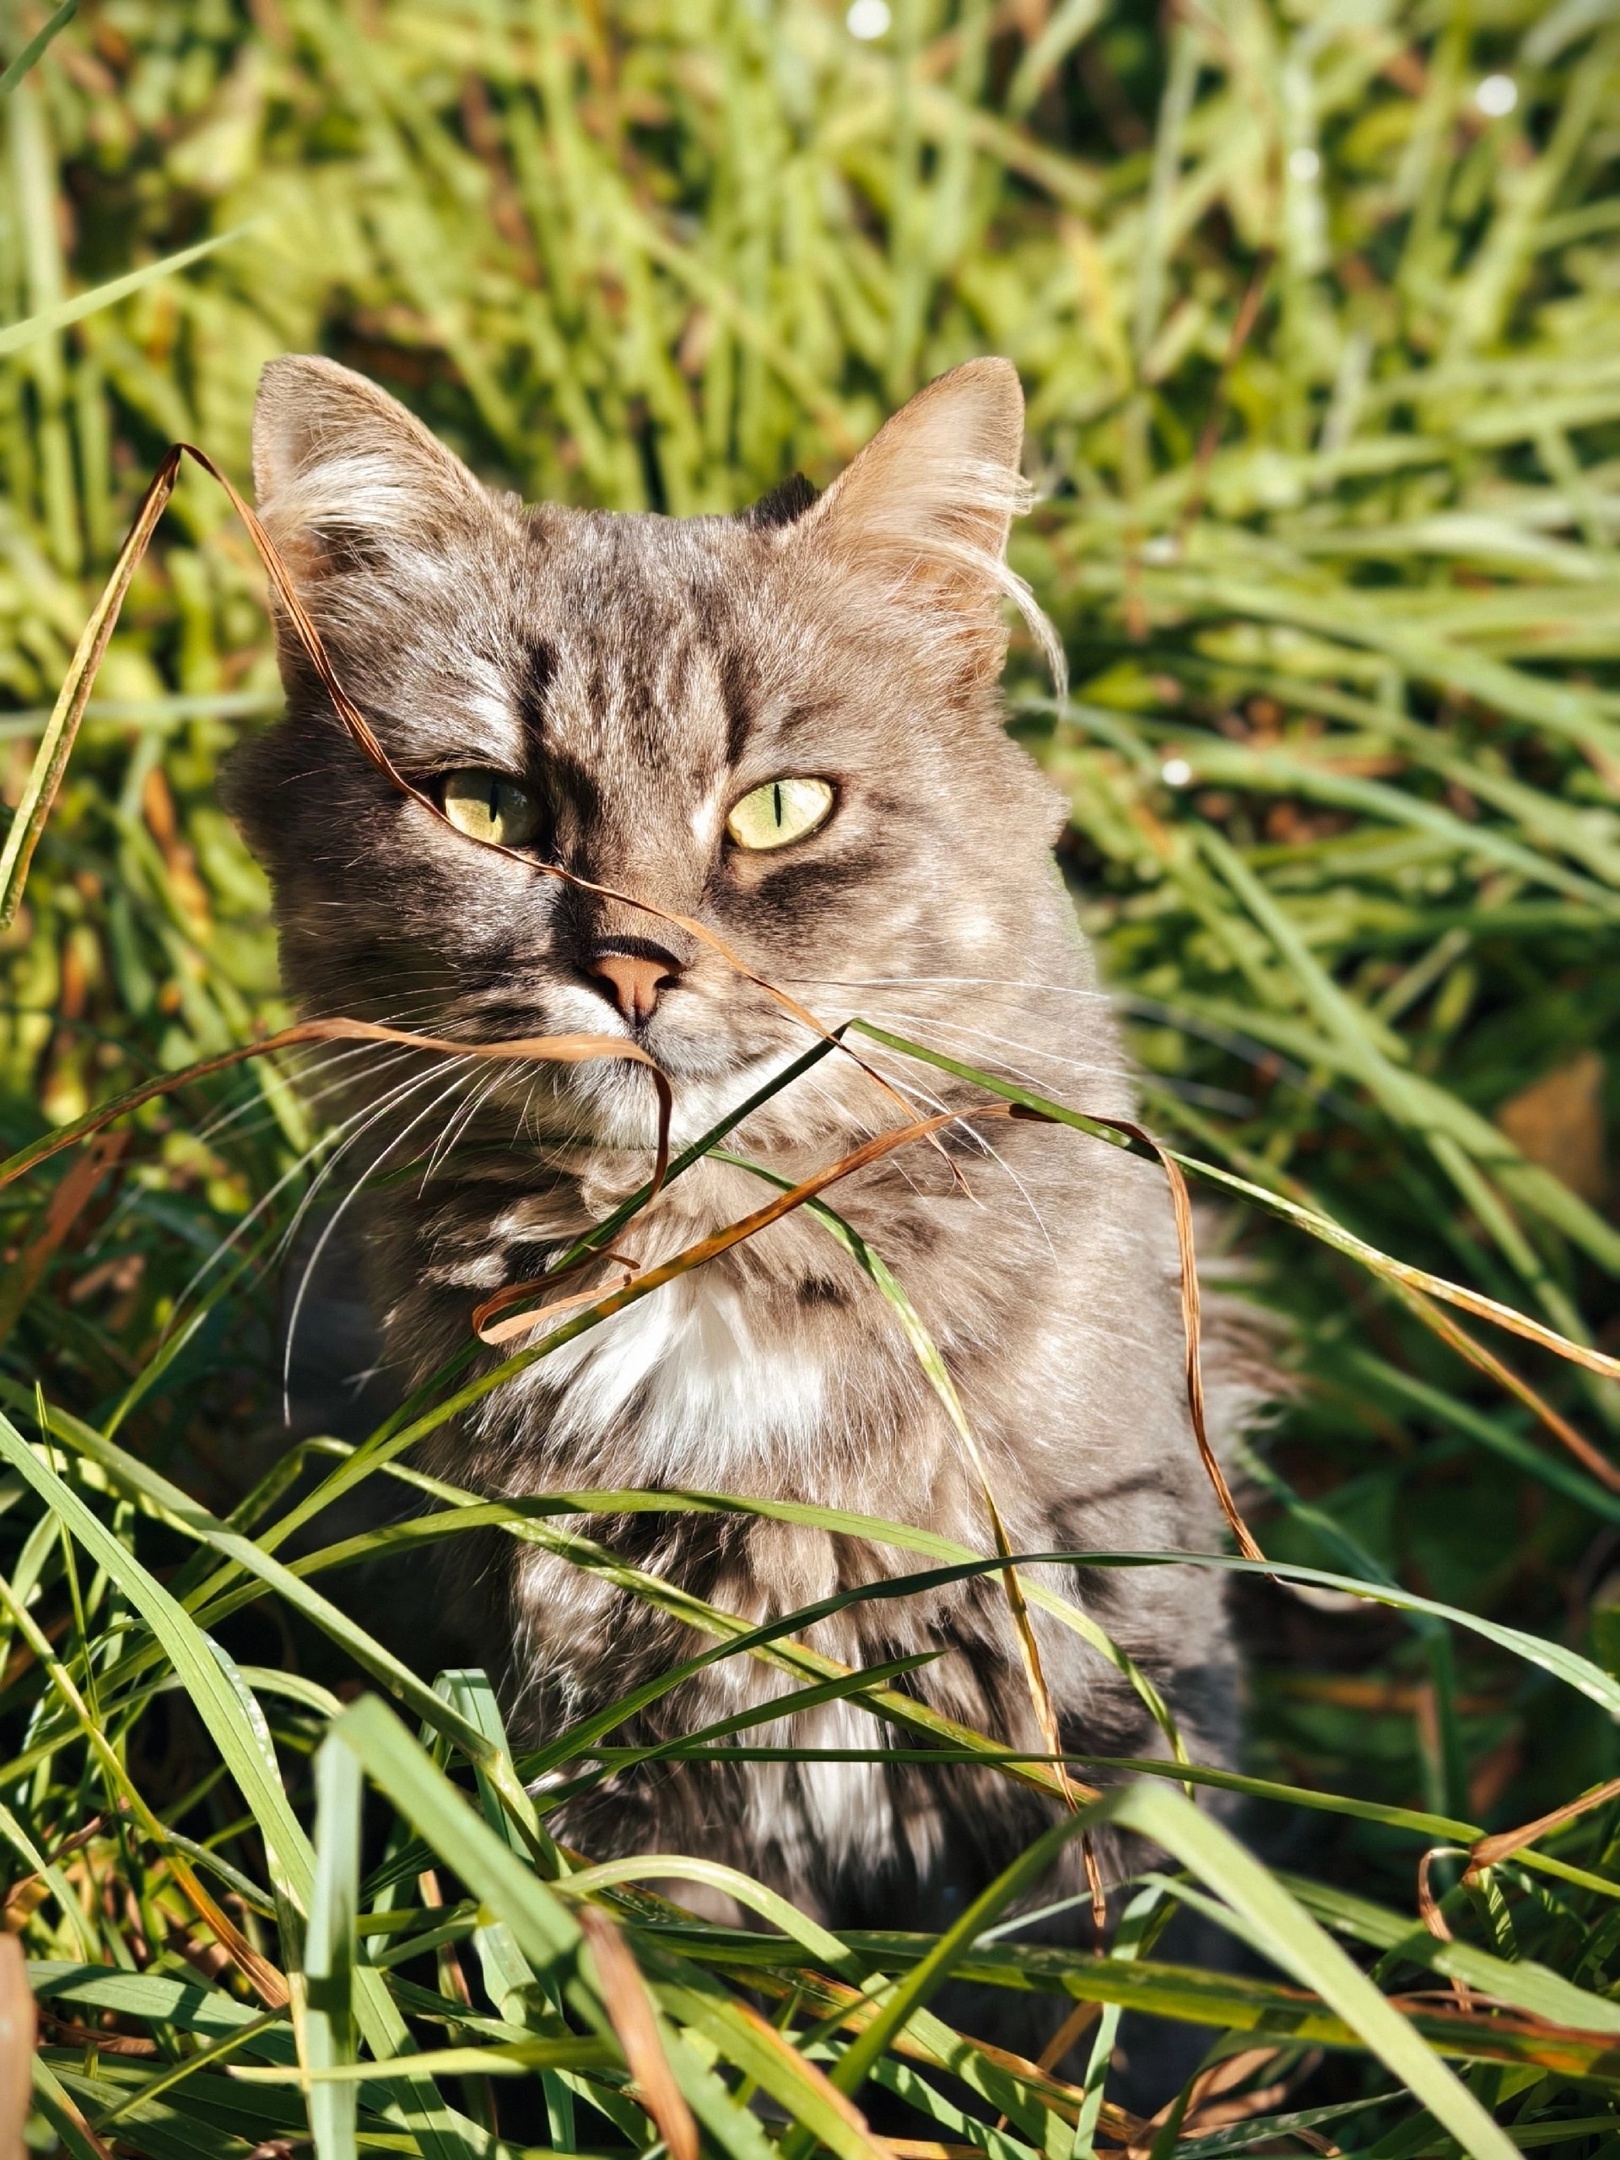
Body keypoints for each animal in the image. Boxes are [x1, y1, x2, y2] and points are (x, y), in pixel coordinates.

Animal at [228, 349, 1278, 1944]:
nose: (635, 968)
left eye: (781, 810)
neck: (702, 1270)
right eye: (490, 808)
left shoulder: (1119, 1692)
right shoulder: (601, 1752)